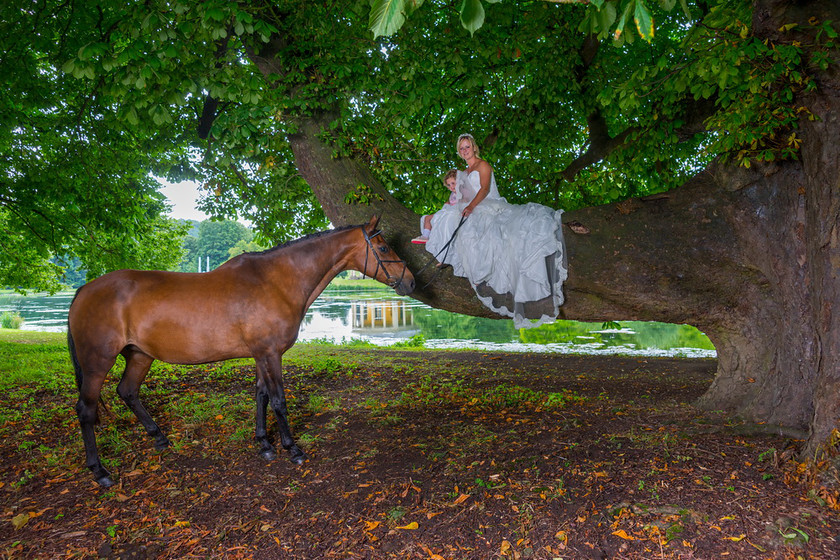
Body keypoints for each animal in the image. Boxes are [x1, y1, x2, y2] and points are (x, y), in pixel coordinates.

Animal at [67, 217, 416, 488]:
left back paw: (159, 439)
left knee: (127, 391)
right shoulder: (271, 353)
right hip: (98, 362)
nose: (410, 282)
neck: (275, 281)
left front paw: (264, 444)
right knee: (86, 409)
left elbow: (260, 396)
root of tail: (85, 289)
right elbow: (277, 400)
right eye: (383, 248)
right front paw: (292, 449)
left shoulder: (261, 354)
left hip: (140, 355)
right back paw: (100, 471)